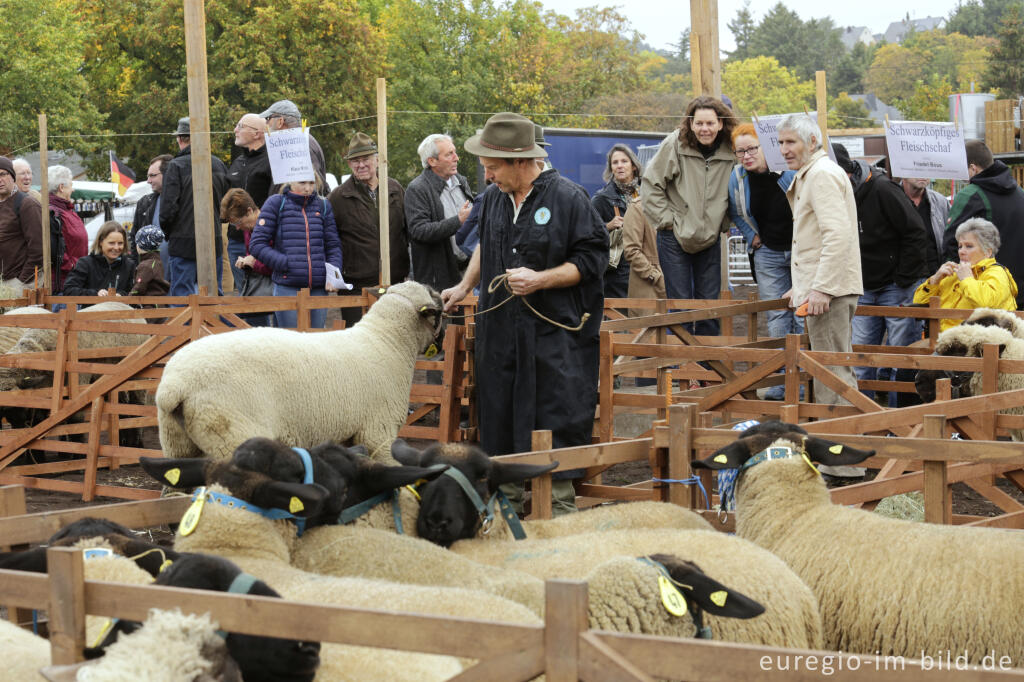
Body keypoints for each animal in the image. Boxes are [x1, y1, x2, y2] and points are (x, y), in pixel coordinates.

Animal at [153, 278, 442, 462]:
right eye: (437, 307)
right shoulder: (378, 432)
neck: (386, 340)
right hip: (231, 435)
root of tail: (175, 385)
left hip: (177, 443)